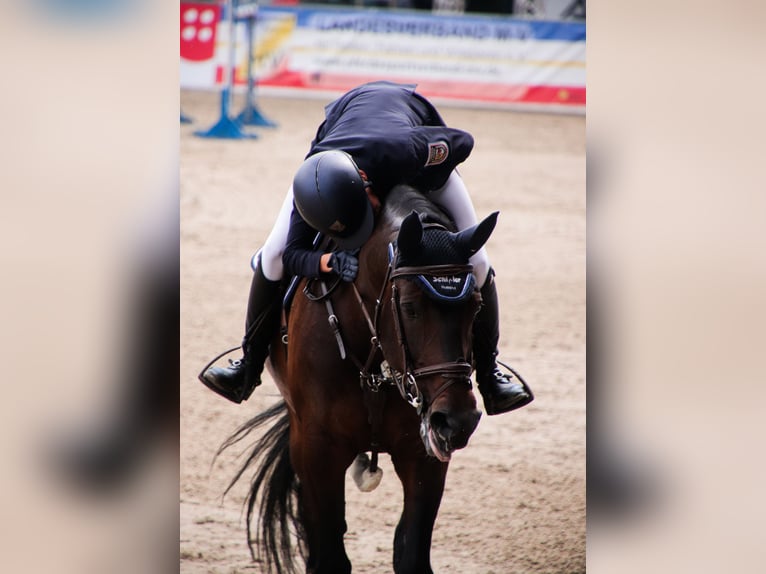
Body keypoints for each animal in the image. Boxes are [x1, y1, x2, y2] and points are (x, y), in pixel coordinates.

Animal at [217, 184, 500, 574]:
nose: (457, 422)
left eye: (476, 305)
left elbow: (412, 554)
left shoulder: (423, 453)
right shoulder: (319, 449)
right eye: (409, 307)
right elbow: (331, 555)